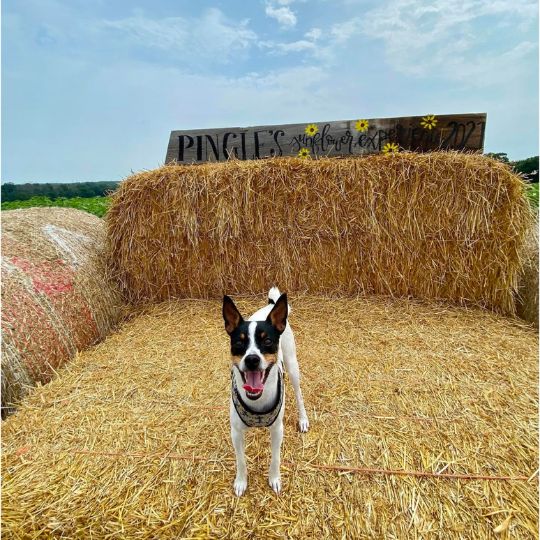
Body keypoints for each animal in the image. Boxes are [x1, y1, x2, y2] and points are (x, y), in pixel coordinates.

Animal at [223, 288, 308, 496]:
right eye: (239, 343)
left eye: (267, 341)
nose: (252, 359)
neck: (257, 401)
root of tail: (271, 305)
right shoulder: (236, 432)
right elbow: (241, 460)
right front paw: (241, 481)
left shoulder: (277, 429)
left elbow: (275, 458)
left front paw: (274, 479)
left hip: (293, 366)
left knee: (299, 394)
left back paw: (303, 419)